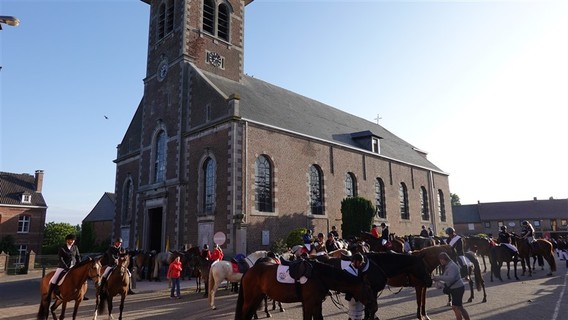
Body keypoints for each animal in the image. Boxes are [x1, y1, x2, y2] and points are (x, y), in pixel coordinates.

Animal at [235, 260, 378, 320]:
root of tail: (249, 270)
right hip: (250, 299)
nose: (375, 308)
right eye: (369, 289)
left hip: (257, 297)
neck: (318, 275)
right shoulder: (309, 302)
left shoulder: (317, 302)